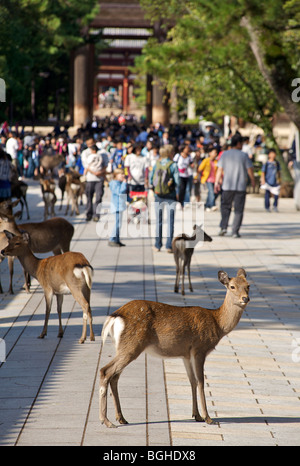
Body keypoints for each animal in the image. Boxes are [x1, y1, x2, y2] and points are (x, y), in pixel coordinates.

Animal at [99, 268, 251, 428]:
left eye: (248, 285)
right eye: (232, 286)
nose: (245, 298)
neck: (217, 323)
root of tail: (115, 317)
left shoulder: (186, 354)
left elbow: (192, 381)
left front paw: (196, 415)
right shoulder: (199, 349)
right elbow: (201, 382)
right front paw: (208, 418)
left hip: (122, 346)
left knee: (114, 377)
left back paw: (121, 418)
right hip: (132, 345)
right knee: (105, 371)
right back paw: (106, 420)